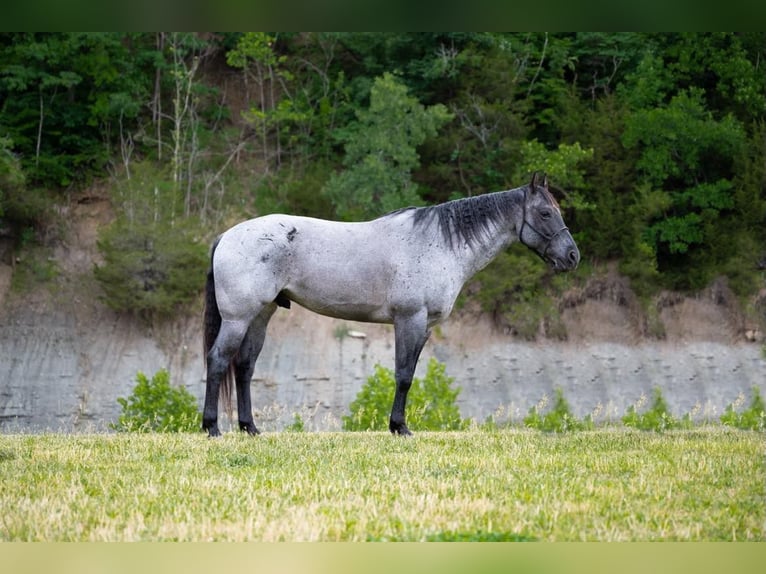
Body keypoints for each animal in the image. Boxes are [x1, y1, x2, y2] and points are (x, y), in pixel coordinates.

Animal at [204, 173, 584, 438]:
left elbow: (409, 374)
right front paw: (399, 427)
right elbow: (403, 375)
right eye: (545, 212)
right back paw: (212, 427)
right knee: (219, 360)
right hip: (238, 318)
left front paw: (398, 424)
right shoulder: (409, 319)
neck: (440, 244)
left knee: (245, 367)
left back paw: (250, 428)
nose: (572, 256)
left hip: (261, 315)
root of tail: (226, 236)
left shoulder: (424, 326)